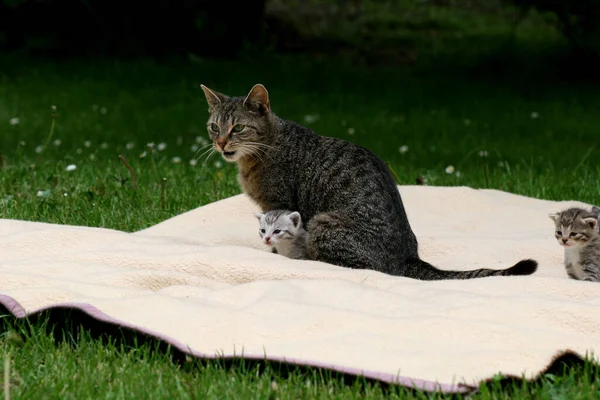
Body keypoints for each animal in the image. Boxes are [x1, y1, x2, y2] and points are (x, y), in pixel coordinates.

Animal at [200, 83, 540, 280]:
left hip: (323, 223)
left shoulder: (280, 203)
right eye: (214, 127)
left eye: (238, 128)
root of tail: (408, 256)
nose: (220, 143)